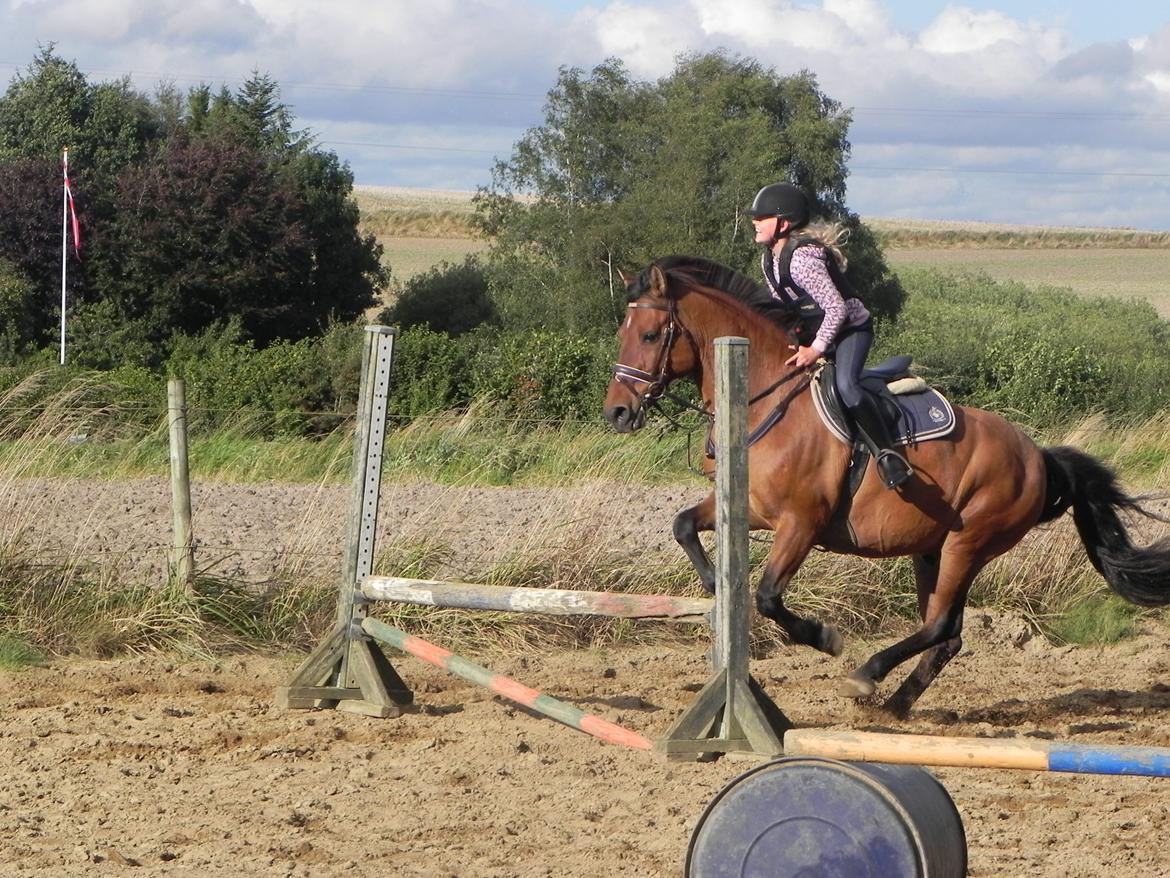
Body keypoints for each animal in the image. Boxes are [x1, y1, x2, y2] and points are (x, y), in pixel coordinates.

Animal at [603, 252, 1170, 716]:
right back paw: (896, 703)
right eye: (621, 334)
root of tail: (1039, 456)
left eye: (650, 336)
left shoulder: (801, 522)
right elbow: (682, 525)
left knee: (939, 626)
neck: (764, 397)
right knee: (947, 636)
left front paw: (824, 638)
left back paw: (866, 676)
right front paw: (712, 585)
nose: (617, 413)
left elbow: (767, 596)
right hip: (931, 549)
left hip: (970, 542)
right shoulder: (754, 508)